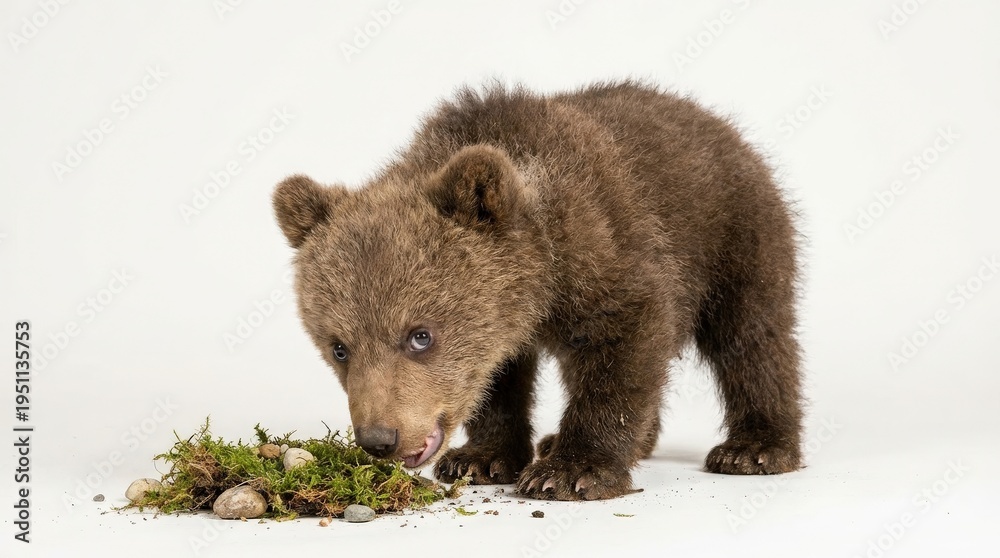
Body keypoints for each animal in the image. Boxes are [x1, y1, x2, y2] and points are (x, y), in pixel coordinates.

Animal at [272, 80, 804, 501]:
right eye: (339, 347)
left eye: (419, 335)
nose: (379, 438)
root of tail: (720, 123)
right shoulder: (505, 316)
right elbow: (498, 379)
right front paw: (480, 458)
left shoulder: (609, 258)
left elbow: (624, 351)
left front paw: (572, 470)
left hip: (737, 238)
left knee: (751, 338)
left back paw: (755, 448)